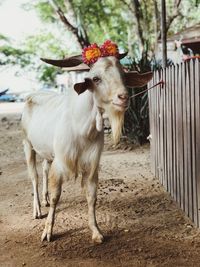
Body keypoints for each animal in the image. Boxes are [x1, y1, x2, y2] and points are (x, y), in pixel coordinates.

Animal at [21, 54, 152, 243]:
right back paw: (37, 209)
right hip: (27, 144)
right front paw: (47, 231)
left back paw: (43, 200)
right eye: (96, 79)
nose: (123, 97)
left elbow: (92, 197)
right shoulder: (61, 162)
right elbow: (55, 197)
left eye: (123, 75)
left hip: (47, 151)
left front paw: (96, 231)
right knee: (34, 176)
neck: (81, 127)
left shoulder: (91, 164)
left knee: (44, 169)